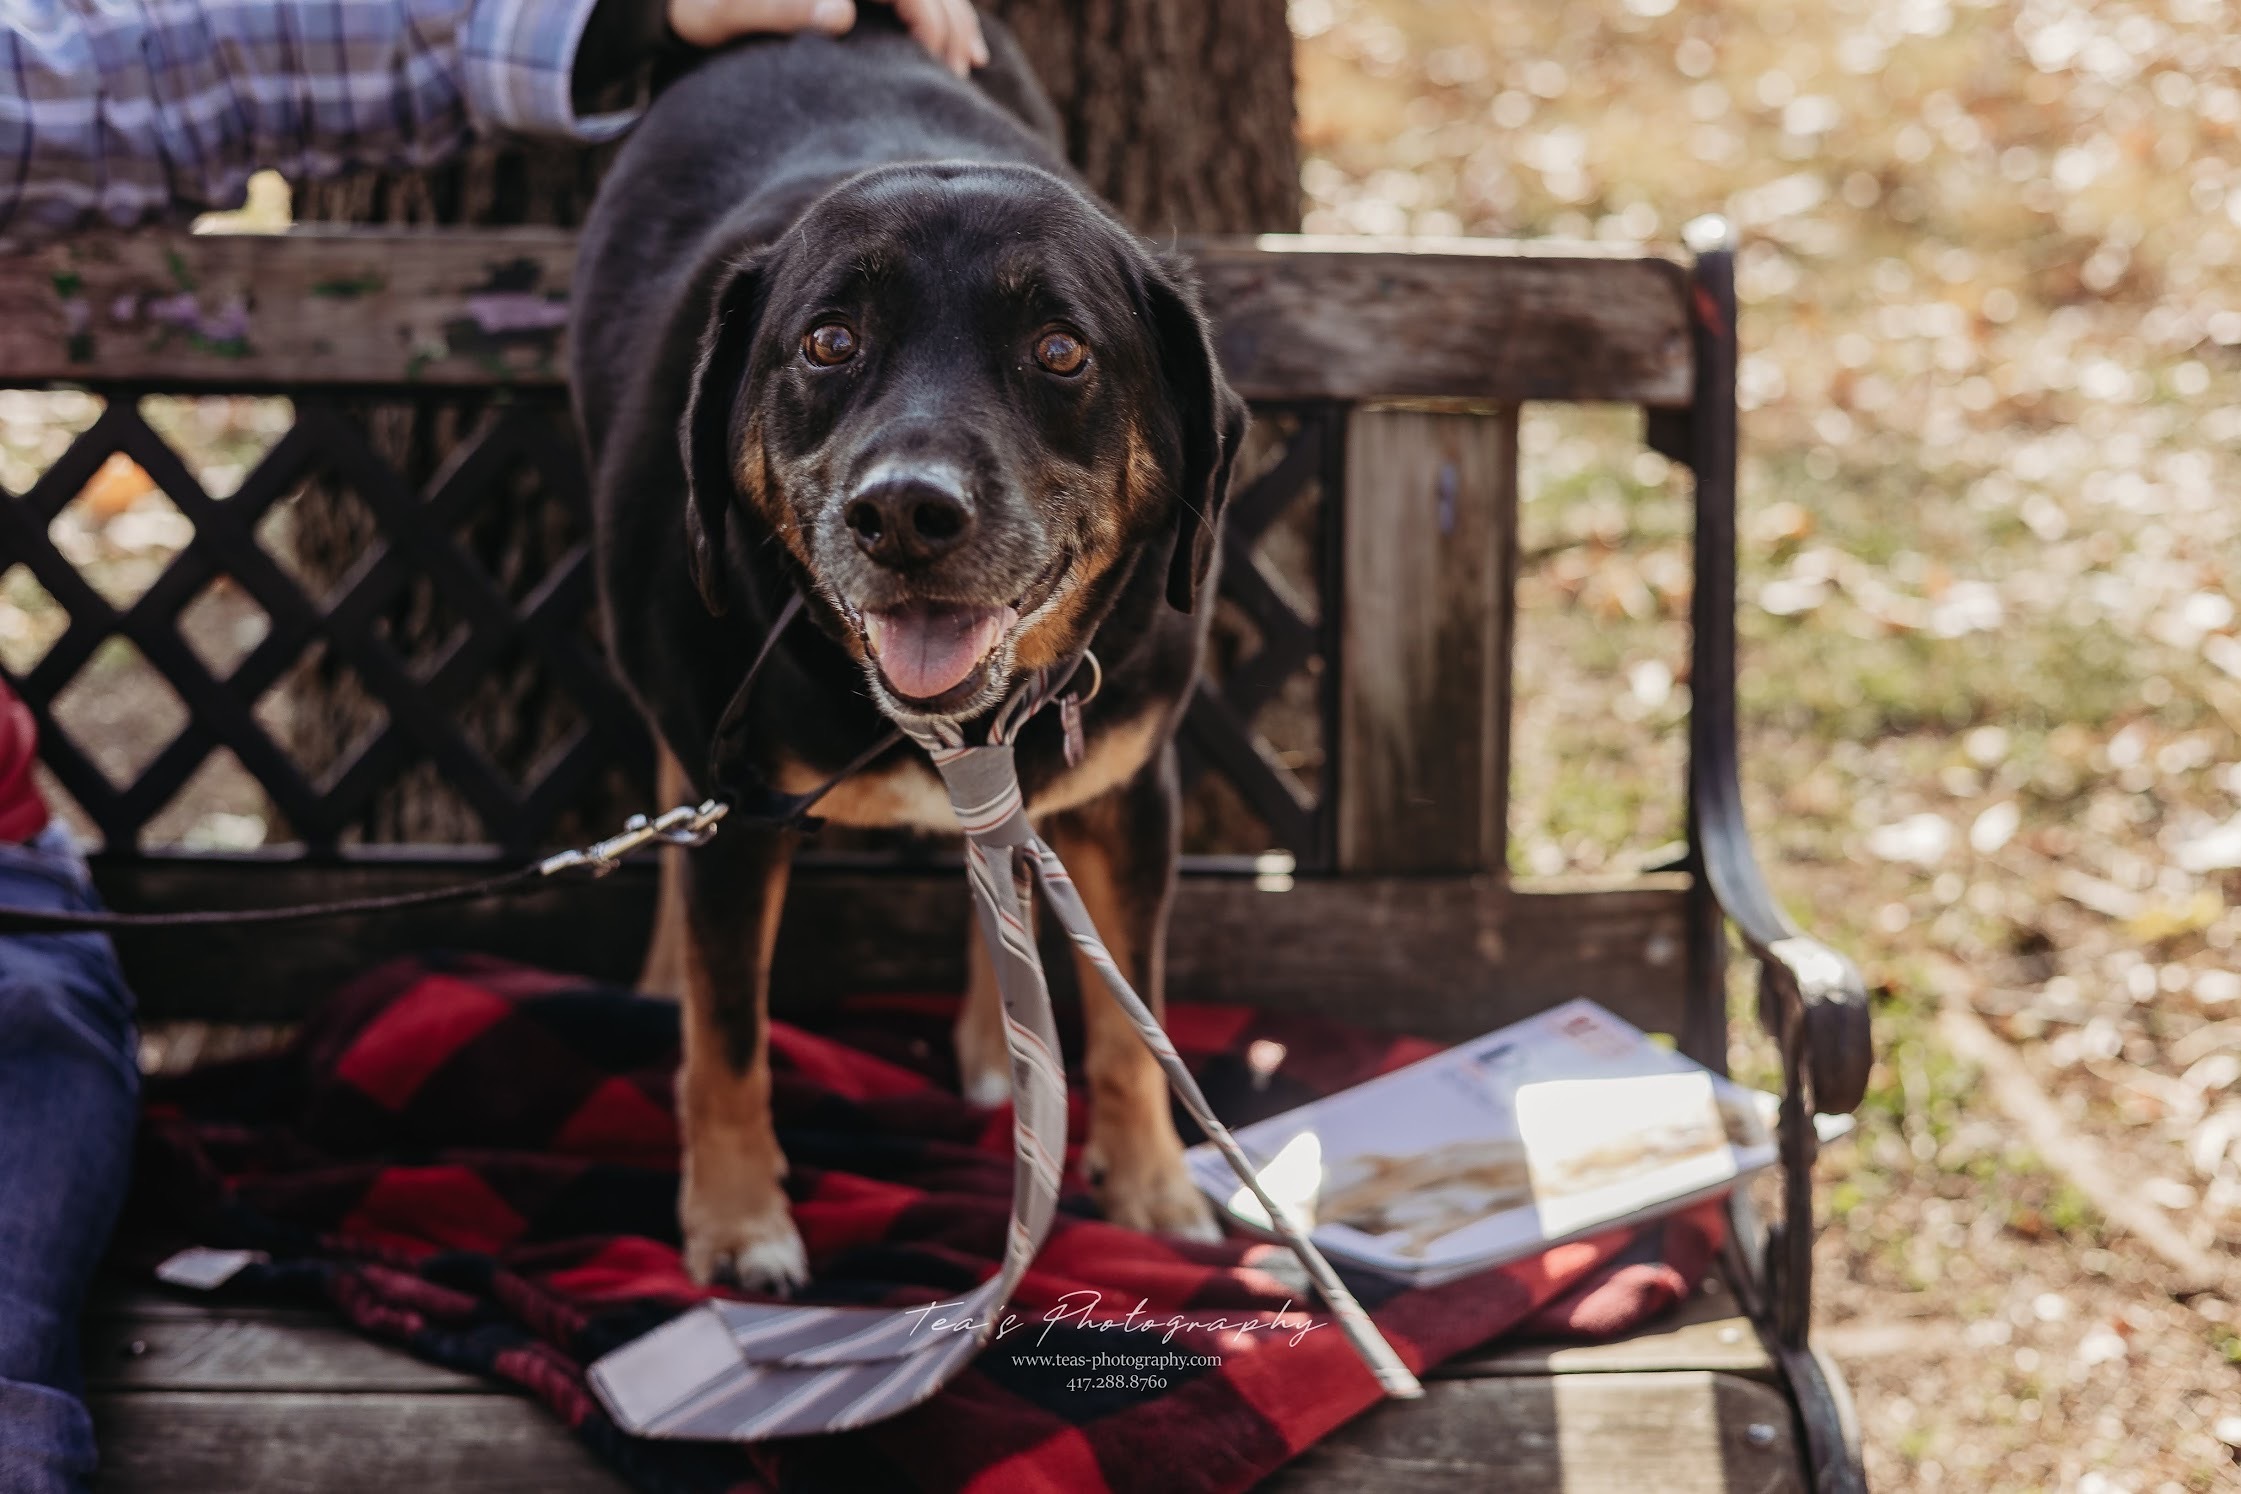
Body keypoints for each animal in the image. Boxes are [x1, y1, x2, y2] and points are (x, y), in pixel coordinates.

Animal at [569, 11, 1245, 1290]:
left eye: (1061, 350)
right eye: (829, 340)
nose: (905, 512)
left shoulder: (1133, 789)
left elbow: (1132, 1023)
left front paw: (1152, 1189)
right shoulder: (737, 809)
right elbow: (729, 1038)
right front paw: (737, 1225)